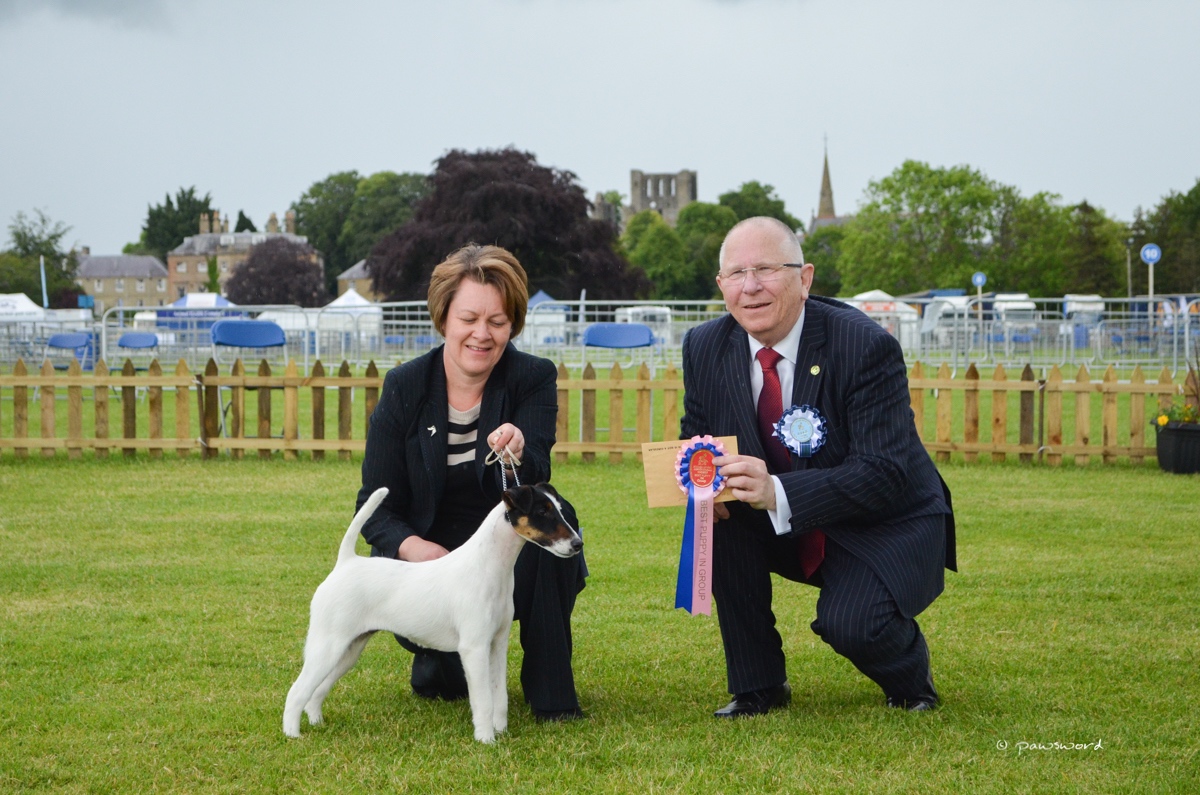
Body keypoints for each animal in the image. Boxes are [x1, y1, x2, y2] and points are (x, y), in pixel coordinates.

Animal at [282, 482, 580, 744]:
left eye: (558, 509)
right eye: (542, 512)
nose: (578, 544)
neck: (489, 567)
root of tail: (346, 563)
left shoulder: (497, 645)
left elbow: (499, 697)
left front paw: (501, 731)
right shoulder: (474, 649)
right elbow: (483, 700)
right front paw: (486, 740)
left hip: (349, 650)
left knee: (316, 691)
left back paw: (316, 722)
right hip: (328, 646)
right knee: (296, 692)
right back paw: (292, 735)